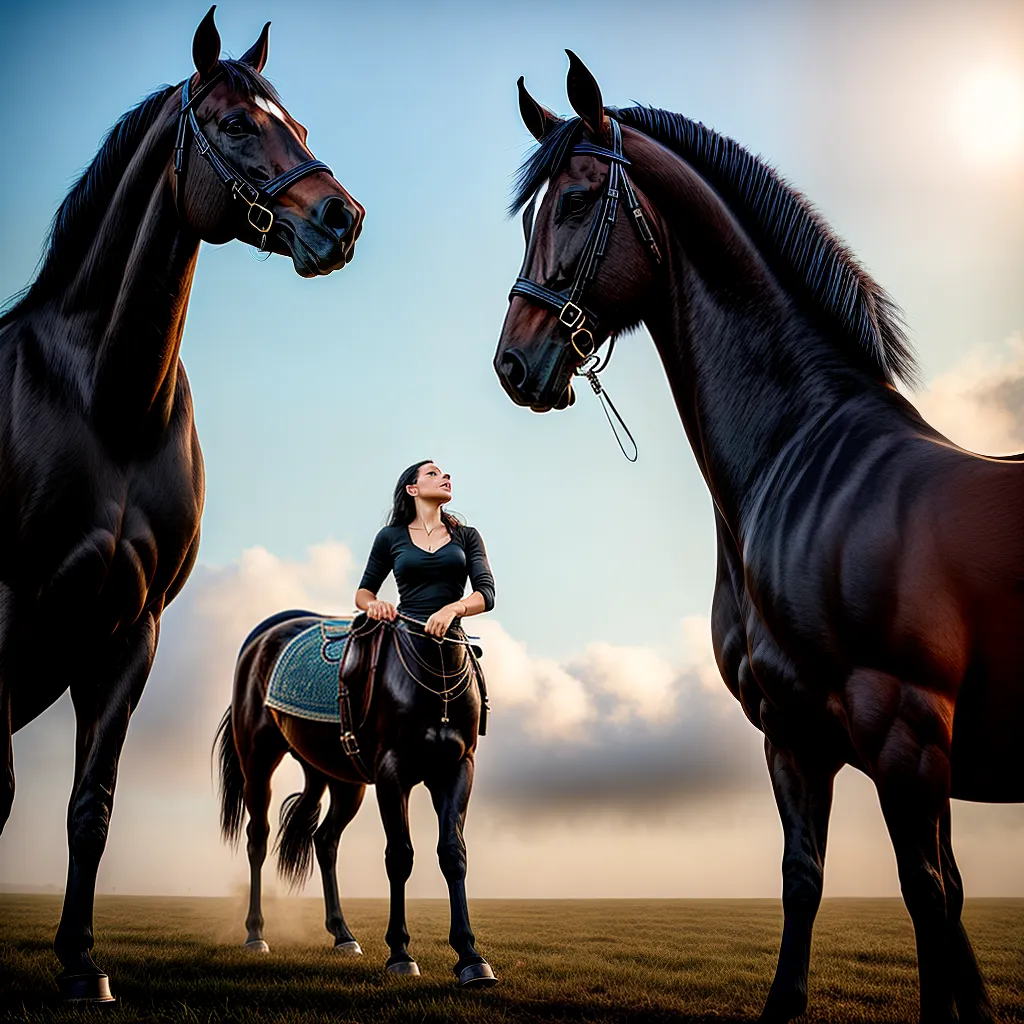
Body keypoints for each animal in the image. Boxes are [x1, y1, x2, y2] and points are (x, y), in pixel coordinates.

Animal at [0, 8, 363, 1002]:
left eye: (299, 126)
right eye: (236, 125)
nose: (342, 218)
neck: (105, 404)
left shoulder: (131, 632)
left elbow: (91, 808)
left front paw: (82, 963)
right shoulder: (5, 609)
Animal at [214, 609, 497, 987]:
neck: (434, 675)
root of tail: (262, 637)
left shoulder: (457, 769)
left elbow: (453, 853)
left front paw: (470, 956)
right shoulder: (392, 773)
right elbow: (399, 856)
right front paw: (400, 953)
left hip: (338, 778)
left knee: (324, 840)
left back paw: (343, 935)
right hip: (258, 761)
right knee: (257, 839)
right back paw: (256, 934)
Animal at [493, 51, 1018, 1024]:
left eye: (577, 201)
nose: (515, 362)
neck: (805, 455)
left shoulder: (905, 737)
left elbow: (927, 897)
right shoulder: (794, 736)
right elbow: (820, 882)